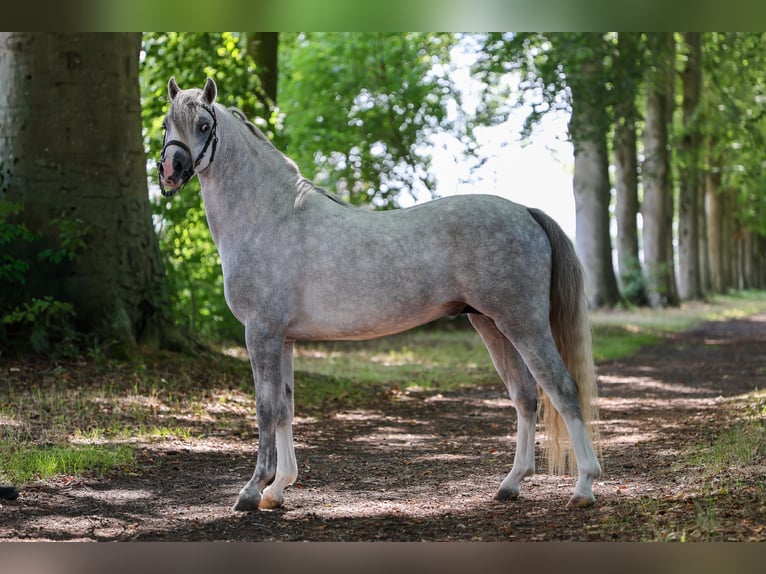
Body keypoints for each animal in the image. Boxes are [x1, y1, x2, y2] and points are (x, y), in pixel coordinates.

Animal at [157, 77, 601, 512]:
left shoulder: (261, 333)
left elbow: (265, 410)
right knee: (525, 396)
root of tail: (525, 211)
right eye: (165, 123)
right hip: (490, 324)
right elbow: (285, 409)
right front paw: (278, 489)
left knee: (562, 390)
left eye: (204, 125)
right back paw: (511, 484)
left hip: (524, 324)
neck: (271, 217)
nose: (171, 170)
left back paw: (584, 486)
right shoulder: (283, 339)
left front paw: (252, 490)